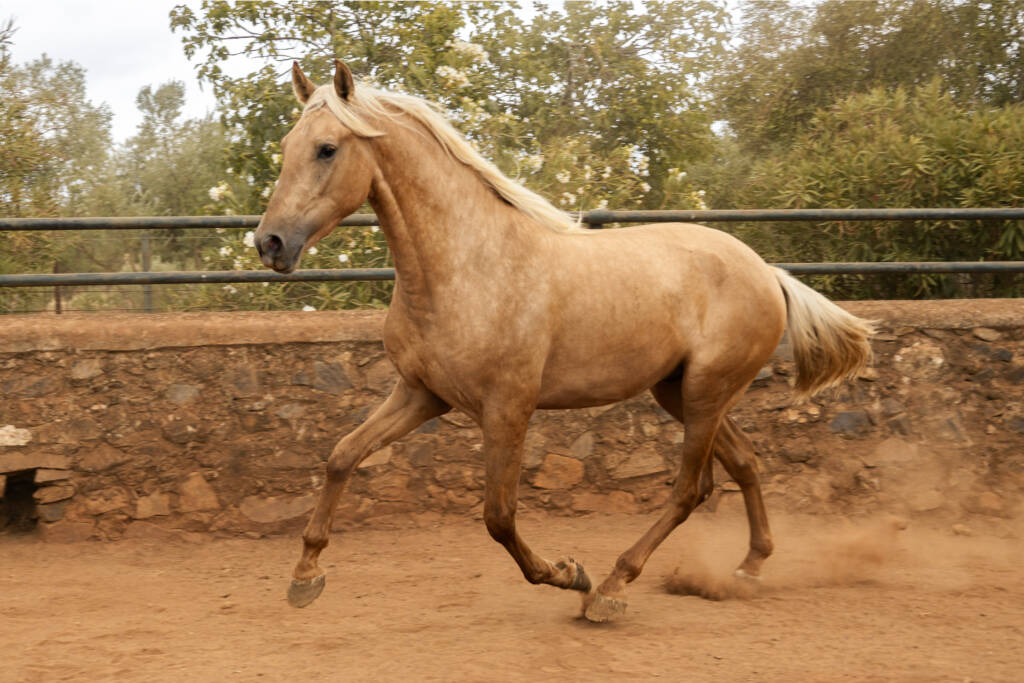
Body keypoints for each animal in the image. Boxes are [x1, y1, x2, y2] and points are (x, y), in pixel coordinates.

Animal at [253, 60, 874, 622]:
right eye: (285, 145)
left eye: (327, 148)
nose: (269, 243)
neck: (465, 267)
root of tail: (767, 271)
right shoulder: (421, 394)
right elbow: (341, 456)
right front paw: (305, 577)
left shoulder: (507, 406)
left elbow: (499, 515)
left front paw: (570, 574)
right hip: (681, 392)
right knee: (742, 463)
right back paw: (747, 569)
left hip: (706, 392)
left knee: (687, 490)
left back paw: (612, 588)